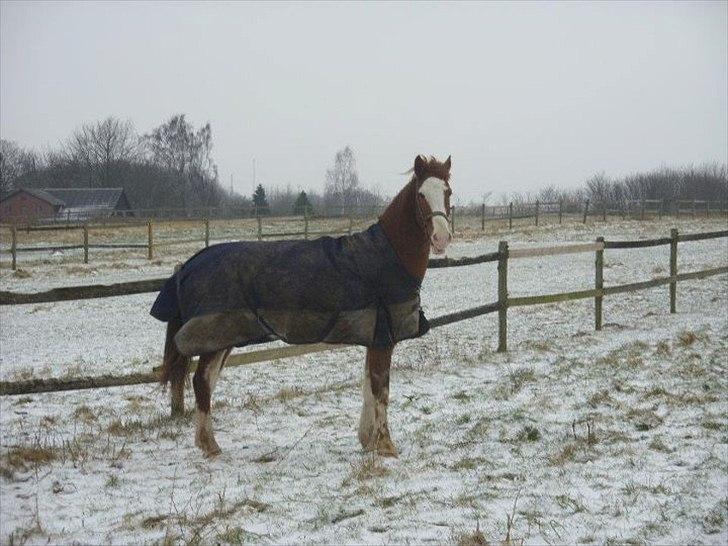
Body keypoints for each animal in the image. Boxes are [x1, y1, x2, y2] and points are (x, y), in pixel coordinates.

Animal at [151, 153, 452, 454]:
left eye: (447, 192)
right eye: (421, 194)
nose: (441, 238)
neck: (385, 255)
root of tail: (189, 264)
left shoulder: (374, 336)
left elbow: (368, 385)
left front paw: (367, 440)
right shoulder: (383, 337)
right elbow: (381, 389)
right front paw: (386, 446)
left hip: (223, 339)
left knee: (207, 380)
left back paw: (206, 443)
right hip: (215, 337)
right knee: (201, 381)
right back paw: (210, 446)